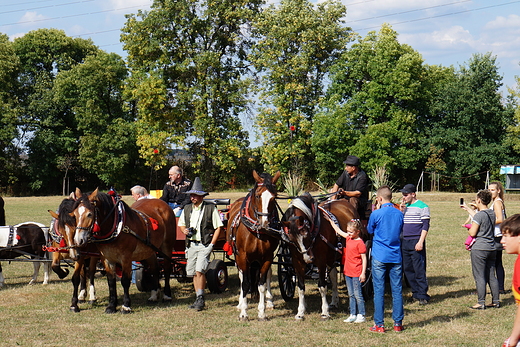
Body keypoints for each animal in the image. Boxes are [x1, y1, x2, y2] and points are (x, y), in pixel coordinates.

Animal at [225, 171, 280, 320]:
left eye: (274, 197)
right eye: (257, 195)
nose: (265, 222)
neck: (257, 231)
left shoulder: (267, 257)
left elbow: (262, 284)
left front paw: (262, 312)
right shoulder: (242, 256)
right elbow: (245, 283)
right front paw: (244, 313)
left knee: (267, 276)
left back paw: (269, 301)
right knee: (242, 277)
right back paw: (240, 303)